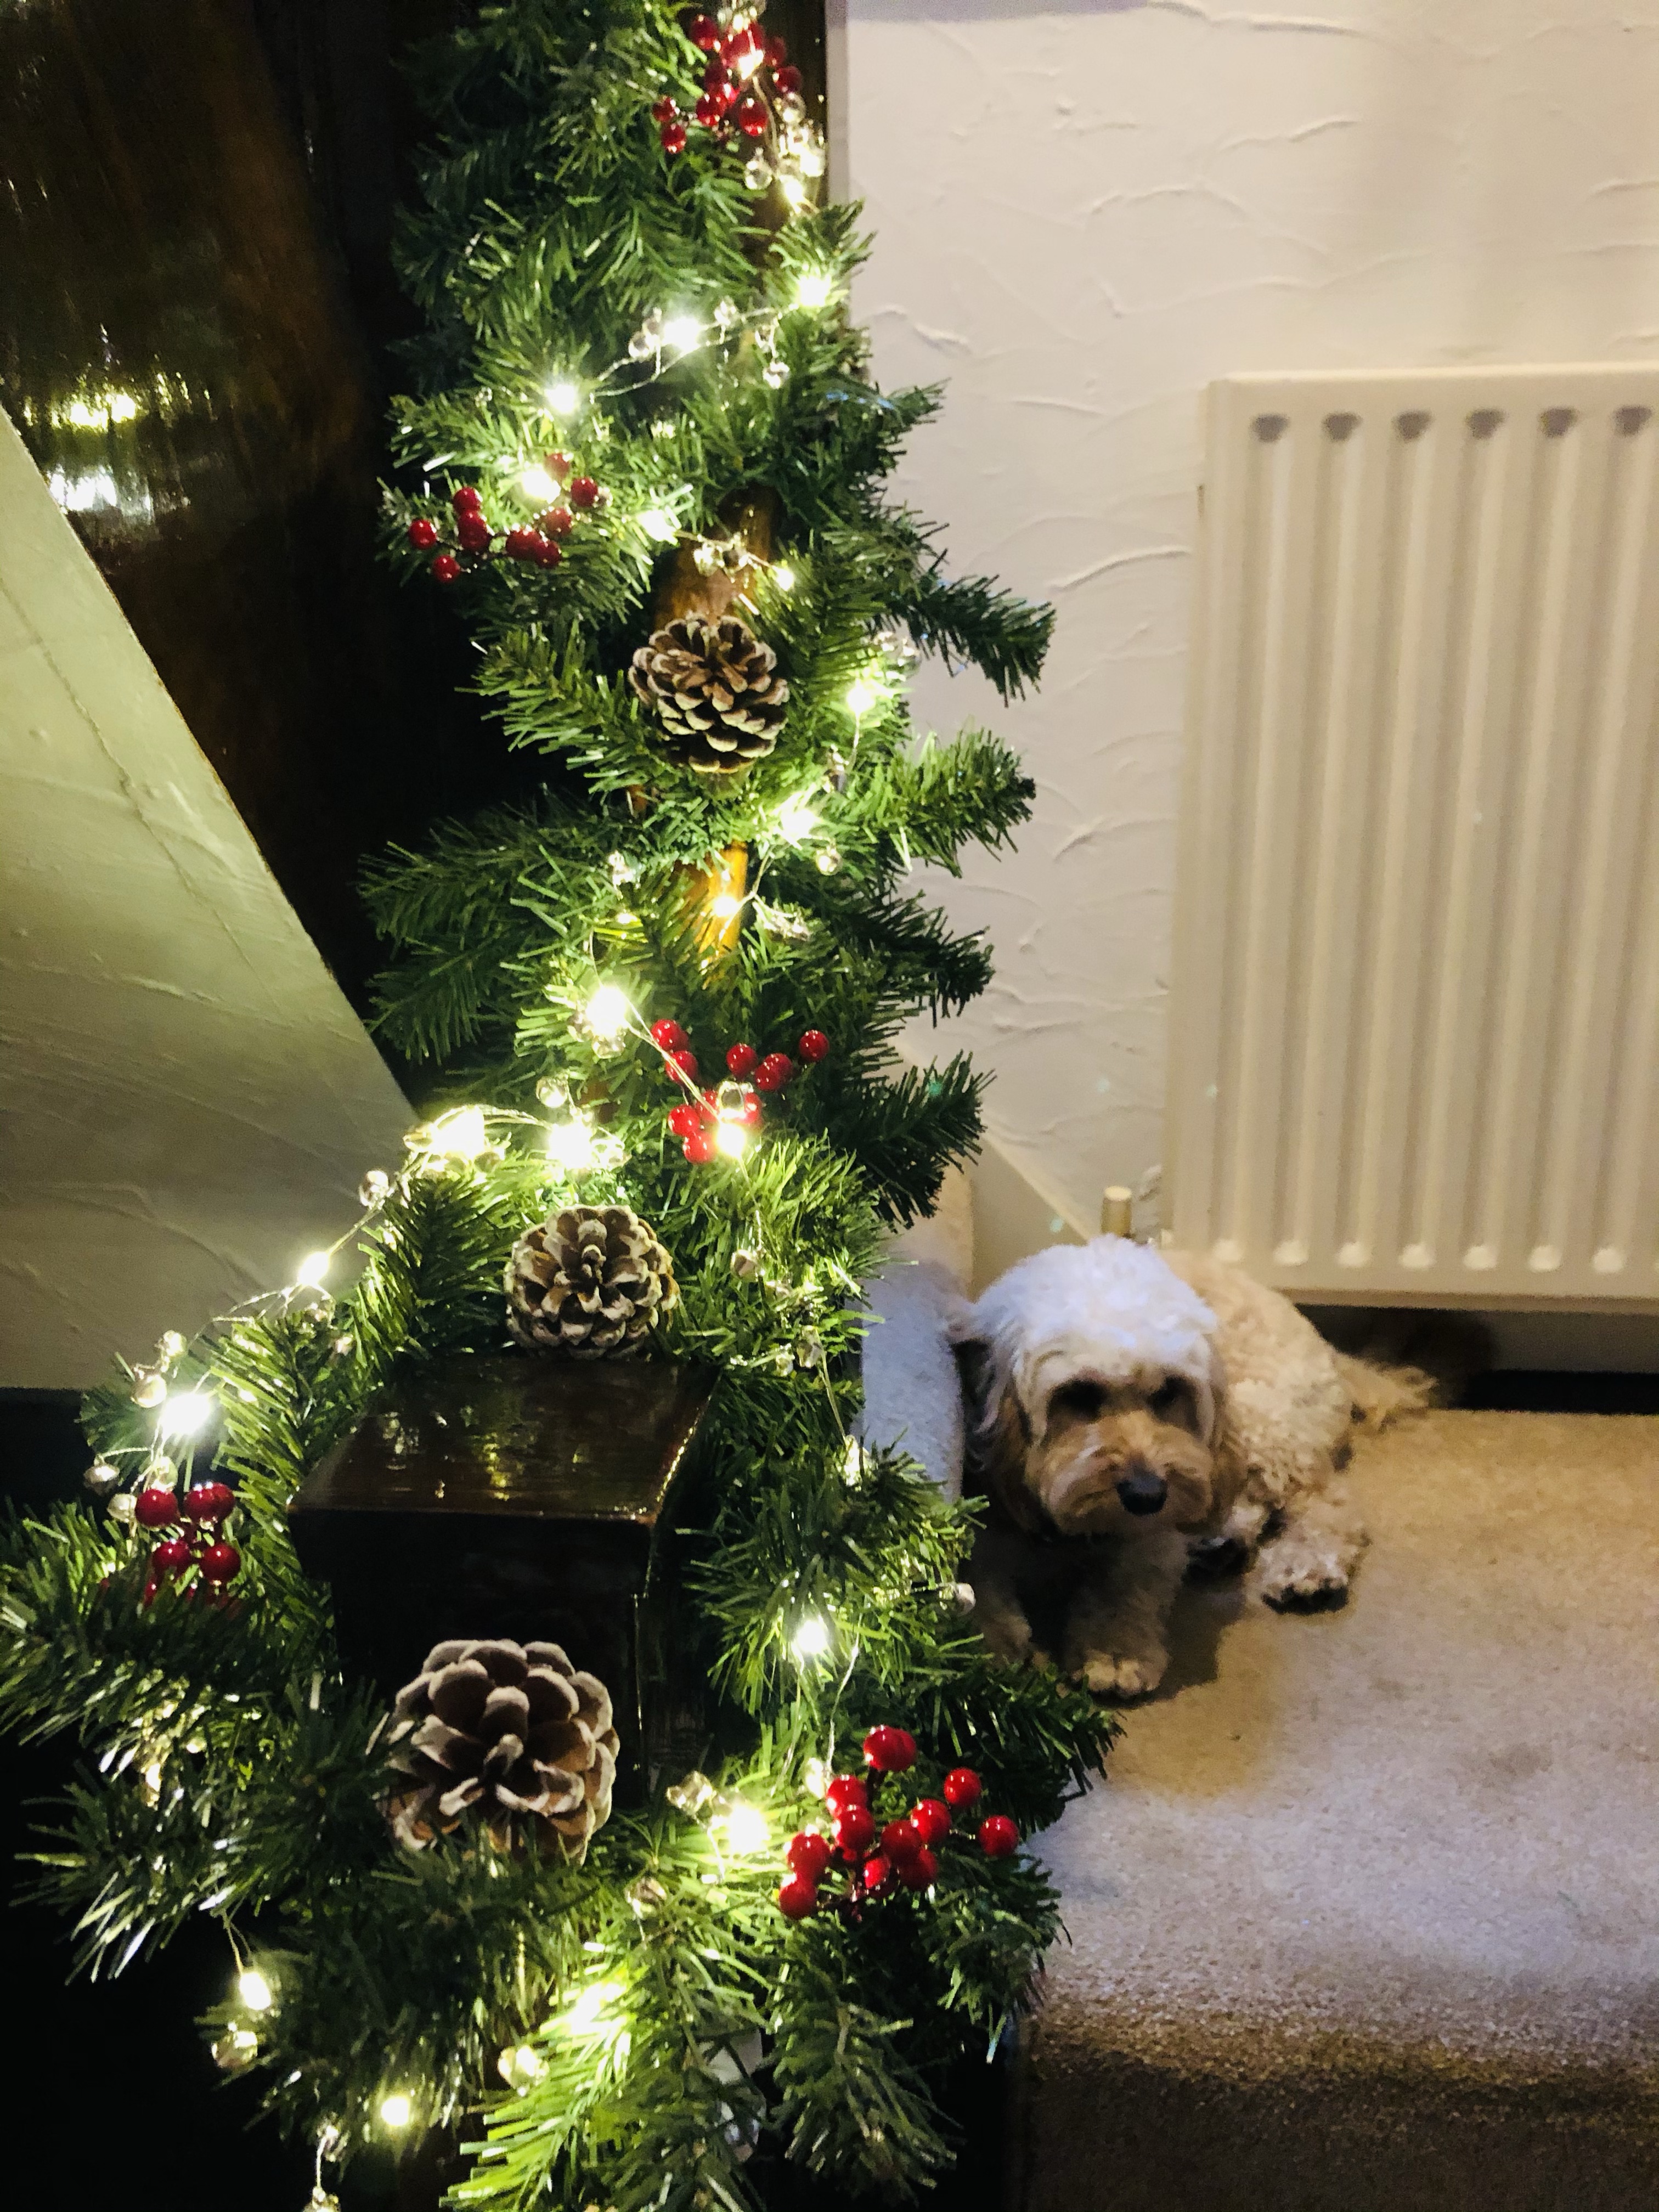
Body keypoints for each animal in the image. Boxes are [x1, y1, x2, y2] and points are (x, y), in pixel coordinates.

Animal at [948, 1236, 1423, 1697]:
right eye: (1078, 1394)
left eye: (1169, 1391)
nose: (1147, 1494)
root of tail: (1326, 1345)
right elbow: (979, 1568)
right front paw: (981, 1641)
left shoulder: (1155, 1525)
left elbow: (1130, 1579)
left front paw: (1116, 1648)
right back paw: (1222, 1542)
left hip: (1264, 1420)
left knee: (1325, 1503)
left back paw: (1305, 1565)